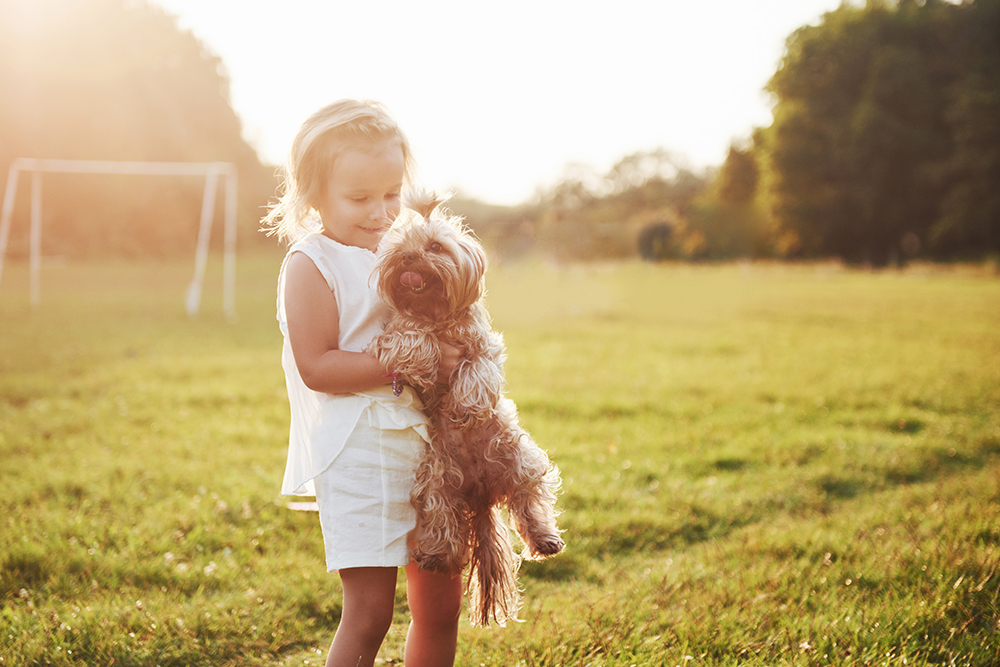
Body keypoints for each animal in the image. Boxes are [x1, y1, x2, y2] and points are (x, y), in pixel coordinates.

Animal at [366, 192, 564, 628]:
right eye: (400, 248)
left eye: (434, 247)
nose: (408, 258)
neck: (436, 313)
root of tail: (481, 493)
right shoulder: (395, 334)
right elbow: (410, 336)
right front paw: (425, 358)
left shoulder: (484, 346)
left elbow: (477, 369)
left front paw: (466, 405)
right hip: (436, 477)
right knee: (443, 519)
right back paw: (437, 555)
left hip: (518, 455)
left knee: (529, 499)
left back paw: (545, 538)